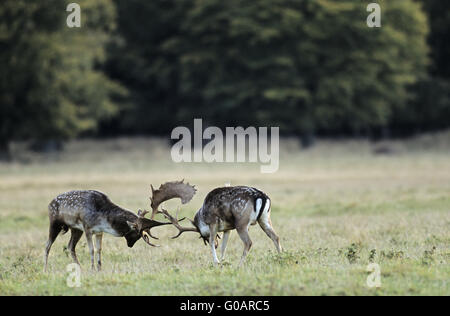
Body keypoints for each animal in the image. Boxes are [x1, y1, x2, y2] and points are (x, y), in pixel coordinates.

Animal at [149, 181, 284, 266]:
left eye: (202, 236)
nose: (216, 244)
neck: (202, 216)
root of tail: (262, 197)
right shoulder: (228, 228)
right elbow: (225, 245)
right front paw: (223, 261)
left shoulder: (213, 222)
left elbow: (211, 242)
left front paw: (217, 262)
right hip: (265, 218)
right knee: (275, 236)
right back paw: (280, 258)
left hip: (241, 222)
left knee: (248, 242)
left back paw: (239, 265)